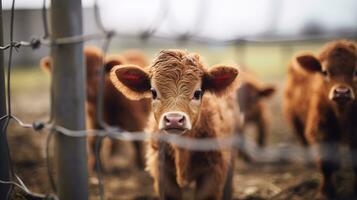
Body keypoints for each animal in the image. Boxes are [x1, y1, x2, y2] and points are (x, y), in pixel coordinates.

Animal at [284, 40, 356, 198]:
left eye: (356, 71)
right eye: (325, 72)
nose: (342, 92)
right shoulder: (320, 132)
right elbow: (326, 164)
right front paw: (326, 192)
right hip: (294, 119)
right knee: (302, 140)